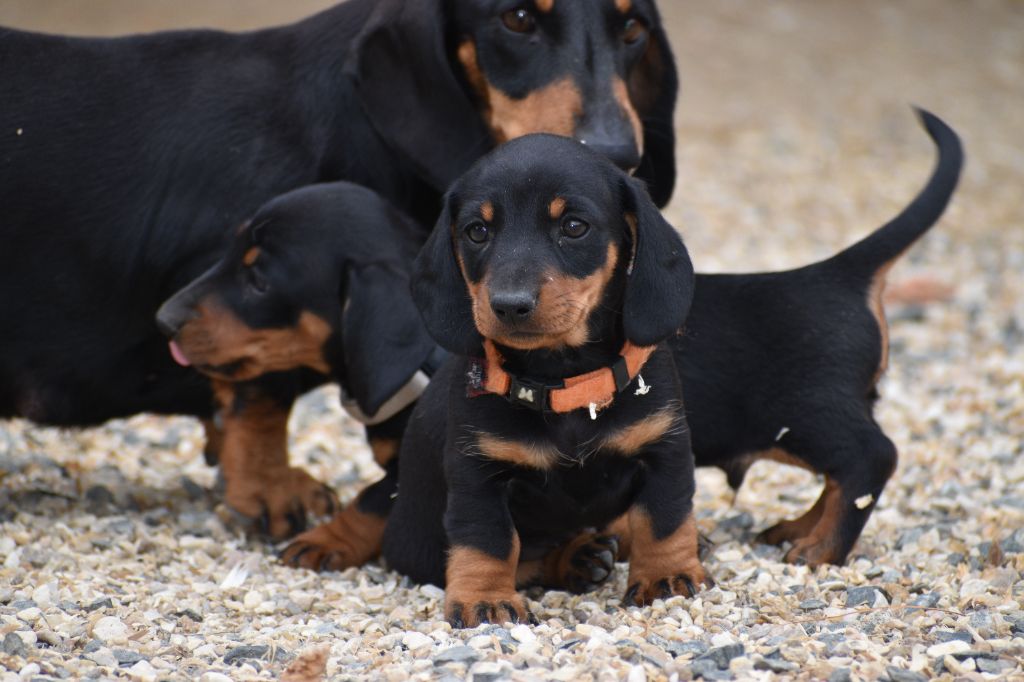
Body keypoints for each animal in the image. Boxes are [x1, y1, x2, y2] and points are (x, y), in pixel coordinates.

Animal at [380, 134, 708, 626]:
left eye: (573, 226)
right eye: (477, 231)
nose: (509, 305)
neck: (564, 382)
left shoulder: (663, 447)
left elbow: (664, 518)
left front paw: (665, 576)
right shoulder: (477, 473)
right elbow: (488, 539)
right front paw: (485, 600)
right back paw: (578, 557)